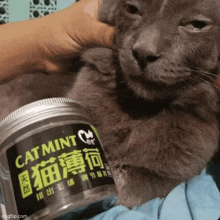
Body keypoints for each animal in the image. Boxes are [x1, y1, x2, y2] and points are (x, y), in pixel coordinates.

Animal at [0, 0, 220, 207]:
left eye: (197, 24)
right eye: (131, 9)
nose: (143, 51)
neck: (139, 108)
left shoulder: (169, 172)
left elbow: (131, 183)